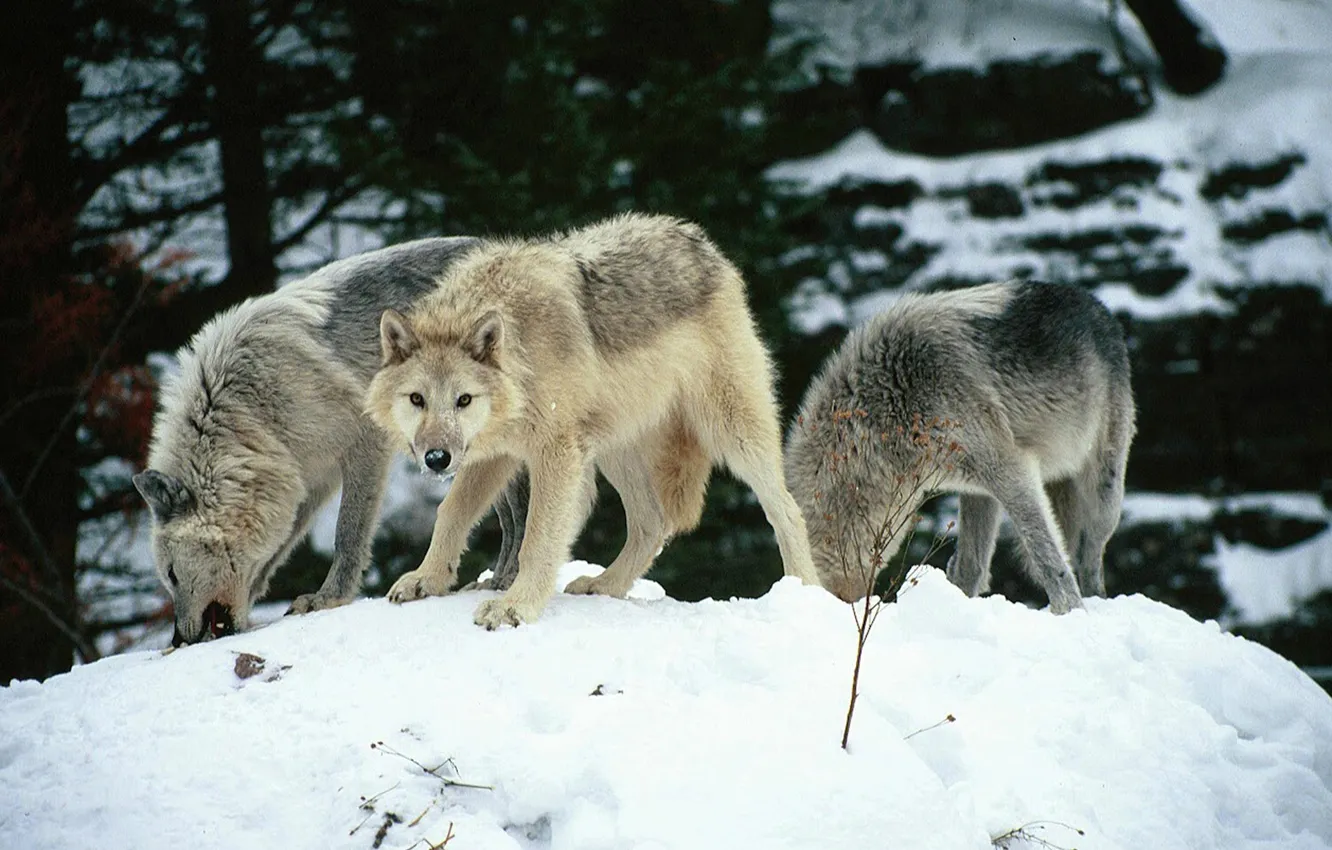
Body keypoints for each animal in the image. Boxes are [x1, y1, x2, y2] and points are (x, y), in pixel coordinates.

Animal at [134, 238, 530, 646]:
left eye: (173, 575)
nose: (179, 640)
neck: (252, 413)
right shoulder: (301, 481)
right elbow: (275, 553)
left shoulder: (363, 444)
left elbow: (347, 533)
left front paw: (329, 598)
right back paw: (496, 580)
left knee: (521, 510)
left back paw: (507, 578)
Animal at [365, 212, 821, 629]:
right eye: (417, 399)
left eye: (463, 400)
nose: (436, 459)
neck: (521, 353)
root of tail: (697, 239)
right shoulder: (496, 454)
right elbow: (452, 513)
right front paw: (426, 579)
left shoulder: (555, 452)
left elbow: (537, 538)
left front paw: (515, 606)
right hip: (612, 449)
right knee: (653, 522)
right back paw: (606, 586)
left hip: (730, 432)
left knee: (787, 510)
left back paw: (805, 592)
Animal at [784, 281, 1135, 613]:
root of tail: (1099, 307)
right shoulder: (982, 485)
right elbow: (970, 567)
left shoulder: (1011, 471)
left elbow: (1046, 555)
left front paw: (1070, 610)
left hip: (1103, 495)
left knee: (1089, 556)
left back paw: (1094, 600)